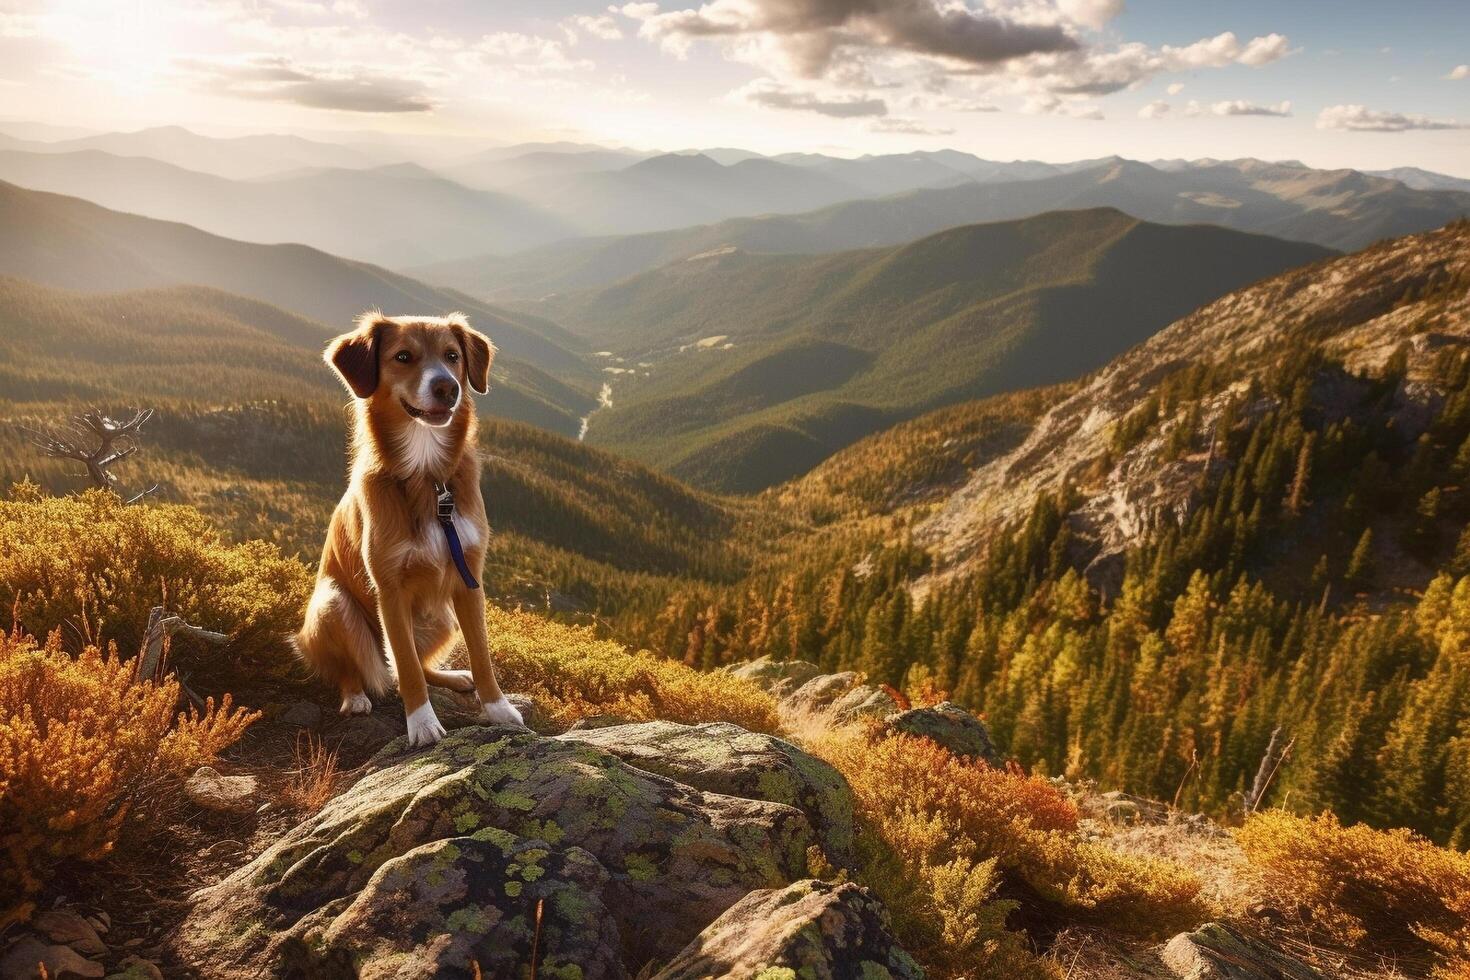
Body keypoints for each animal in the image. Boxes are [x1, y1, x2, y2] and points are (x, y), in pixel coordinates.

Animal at [292, 310, 523, 746]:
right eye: (403, 356)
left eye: (452, 356)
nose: (447, 388)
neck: (428, 475)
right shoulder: (389, 590)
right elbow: (407, 667)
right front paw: (422, 724)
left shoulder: (469, 579)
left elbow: (481, 655)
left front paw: (498, 708)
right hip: (332, 602)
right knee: (361, 668)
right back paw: (355, 697)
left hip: (442, 618)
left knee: (422, 662)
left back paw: (455, 676)